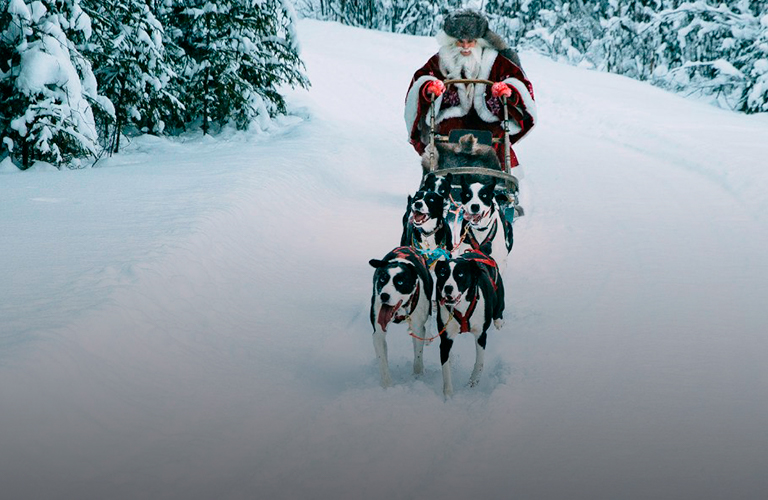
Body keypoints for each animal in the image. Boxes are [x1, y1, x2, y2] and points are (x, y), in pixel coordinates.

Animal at [370, 246, 436, 386]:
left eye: (400, 282)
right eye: (382, 279)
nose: (384, 296)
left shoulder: (418, 327)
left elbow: (418, 357)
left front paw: (418, 377)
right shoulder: (378, 332)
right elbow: (382, 361)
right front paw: (387, 386)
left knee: (428, 322)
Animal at [436, 252, 508, 396]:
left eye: (460, 274)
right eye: (442, 273)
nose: (448, 288)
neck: (462, 308)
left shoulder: (481, 335)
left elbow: (479, 361)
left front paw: (473, 380)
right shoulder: (446, 338)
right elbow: (445, 367)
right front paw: (448, 394)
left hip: (499, 295)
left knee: (499, 310)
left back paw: (498, 322)